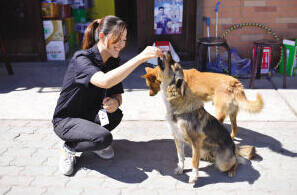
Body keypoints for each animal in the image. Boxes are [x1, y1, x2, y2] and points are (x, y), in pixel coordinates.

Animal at [158, 52, 246, 184]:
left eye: (173, 63)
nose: (168, 52)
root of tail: (233, 149)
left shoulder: (195, 142)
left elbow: (194, 161)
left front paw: (193, 177)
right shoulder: (177, 137)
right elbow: (181, 156)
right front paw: (181, 169)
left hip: (223, 162)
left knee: (235, 162)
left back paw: (231, 171)